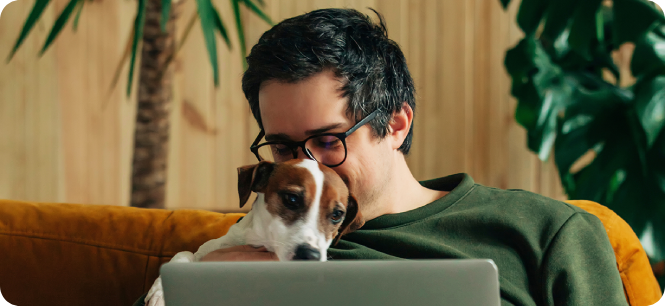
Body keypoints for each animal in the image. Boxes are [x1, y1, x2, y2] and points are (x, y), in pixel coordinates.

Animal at [144, 159, 364, 304]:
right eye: (291, 199)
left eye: (337, 214)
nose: (311, 256)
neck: (260, 241)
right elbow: (184, 254)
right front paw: (160, 292)